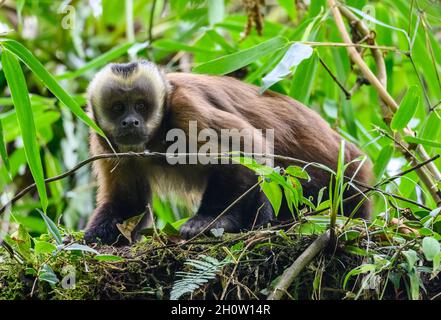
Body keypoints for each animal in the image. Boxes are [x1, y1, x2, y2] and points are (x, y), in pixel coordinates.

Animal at [83, 60, 372, 245]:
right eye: (119, 107)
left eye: (141, 106)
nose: (131, 122)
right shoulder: (102, 140)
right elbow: (128, 202)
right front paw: (96, 238)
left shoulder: (186, 108)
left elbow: (248, 148)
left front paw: (213, 220)